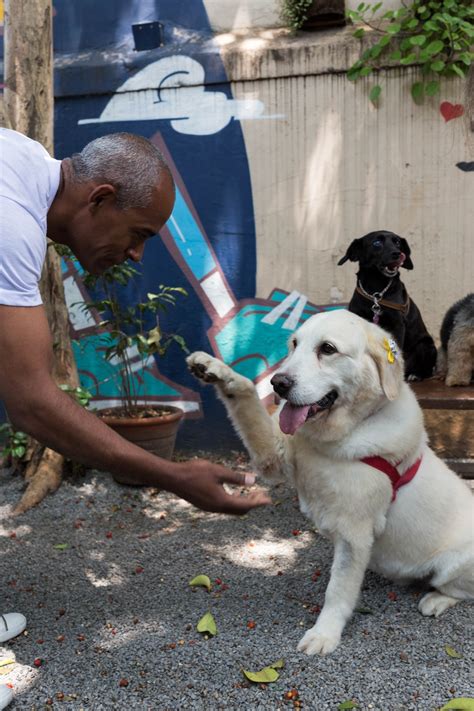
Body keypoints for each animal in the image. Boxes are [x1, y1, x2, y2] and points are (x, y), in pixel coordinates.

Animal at [187, 312, 472, 656]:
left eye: (327, 349)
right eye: (294, 344)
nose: (278, 383)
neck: (339, 436)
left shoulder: (354, 533)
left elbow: (338, 590)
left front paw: (325, 633)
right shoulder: (273, 453)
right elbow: (246, 398)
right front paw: (214, 370)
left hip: (455, 564)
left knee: (459, 590)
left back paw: (436, 600)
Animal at [336, 232, 436, 378]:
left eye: (398, 242)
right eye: (377, 243)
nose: (398, 253)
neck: (376, 290)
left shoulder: (397, 325)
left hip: (425, 347)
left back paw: (416, 375)